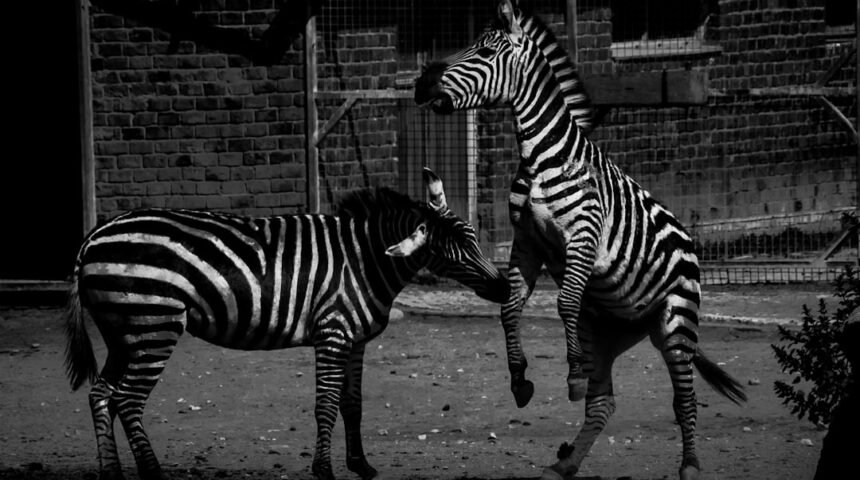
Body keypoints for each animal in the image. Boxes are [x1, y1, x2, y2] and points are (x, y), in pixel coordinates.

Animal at [63, 168, 509, 480]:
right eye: (451, 251)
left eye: (474, 238)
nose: (505, 287)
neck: (365, 259)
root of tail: (93, 236)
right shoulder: (333, 332)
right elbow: (326, 404)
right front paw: (324, 470)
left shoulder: (355, 340)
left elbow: (353, 403)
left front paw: (360, 465)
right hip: (154, 325)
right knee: (127, 399)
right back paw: (152, 472)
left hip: (125, 333)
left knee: (101, 393)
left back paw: (111, 472)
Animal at [414, 2, 746, 480]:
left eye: (485, 52)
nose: (421, 82)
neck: (541, 157)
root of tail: (688, 242)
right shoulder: (527, 244)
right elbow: (510, 308)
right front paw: (520, 380)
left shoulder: (582, 238)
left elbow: (564, 302)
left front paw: (571, 375)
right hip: (606, 331)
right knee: (603, 402)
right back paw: (565, 463)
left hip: (676, 322)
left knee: (684, 399)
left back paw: (689, 466)